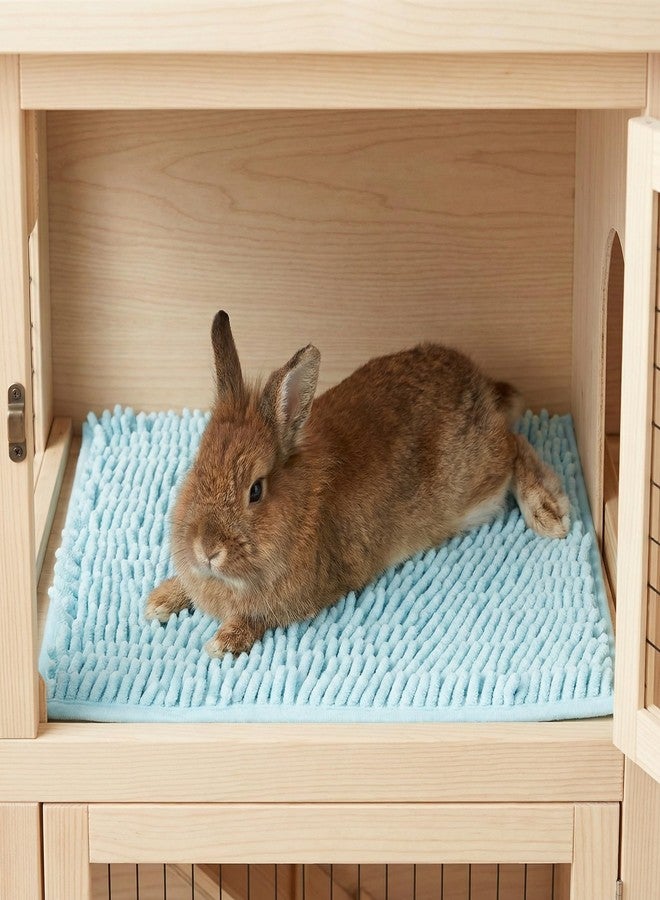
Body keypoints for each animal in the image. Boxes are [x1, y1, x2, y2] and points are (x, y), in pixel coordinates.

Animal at [145, 310, 570, 657]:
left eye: (255, 490)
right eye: (196, 468)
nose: (206, 550)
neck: (301, 505)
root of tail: (481, 384)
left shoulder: (298, 599)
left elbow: (258, 618)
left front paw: (222, 643)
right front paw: (161, 600)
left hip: (479, 478)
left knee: (515, 446)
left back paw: (548, 512)